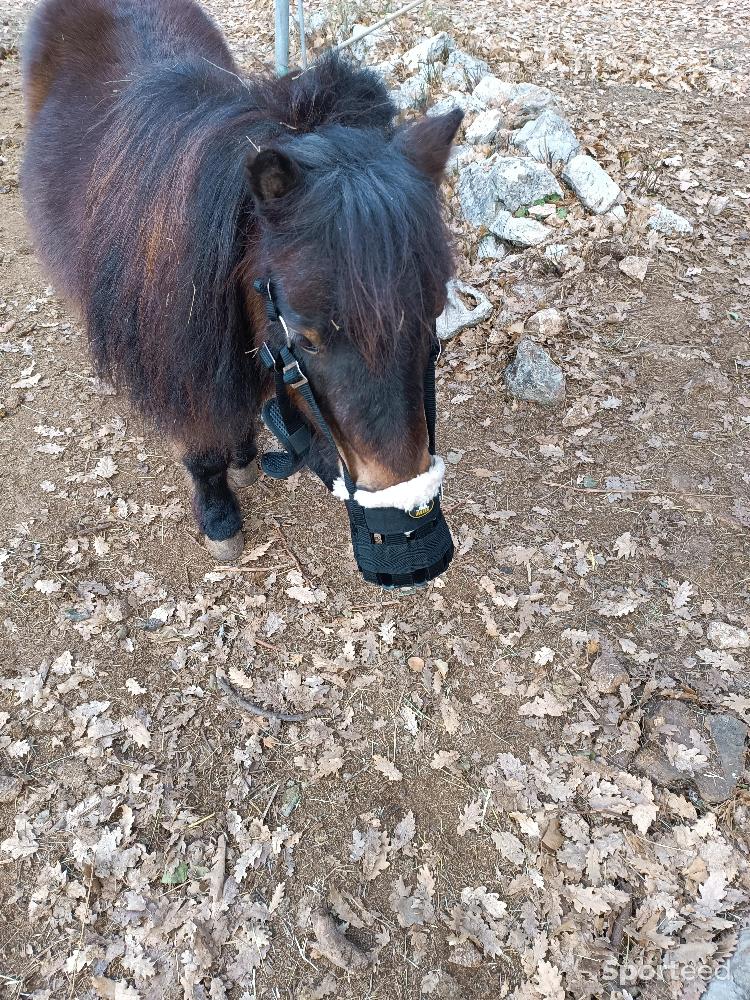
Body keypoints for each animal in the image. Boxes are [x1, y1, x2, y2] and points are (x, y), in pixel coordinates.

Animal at [20, 0, 462, 564]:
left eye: (433, 311)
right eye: (307, 339)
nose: (408, 517)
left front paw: (246, 457)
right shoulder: (185, 373)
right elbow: (204, 447)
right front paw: (219, 514)